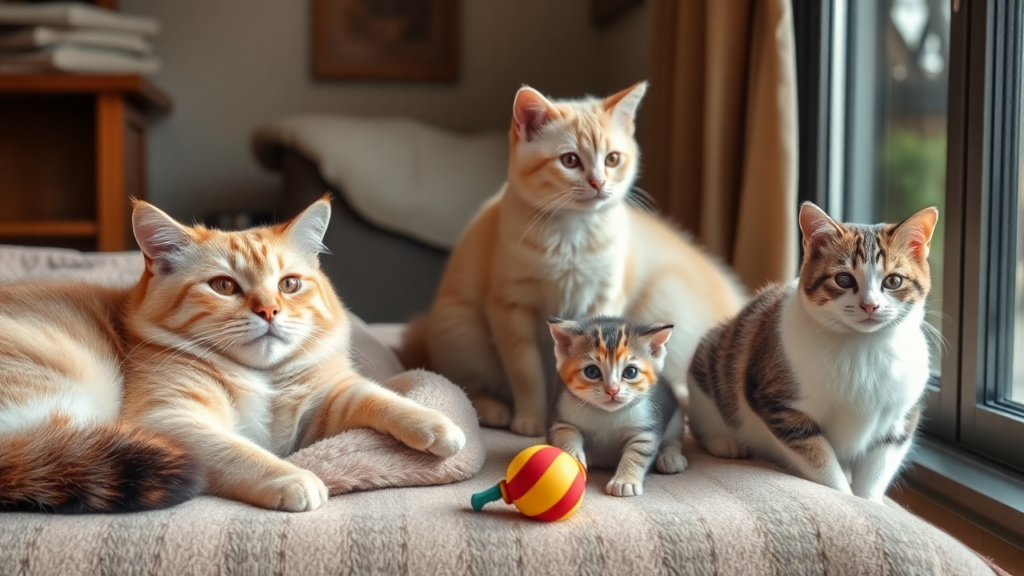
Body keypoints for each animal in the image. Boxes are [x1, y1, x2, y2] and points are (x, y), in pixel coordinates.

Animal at [0, 195, 464, 510]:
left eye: (289, 284)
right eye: (223, 286)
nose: (269, 310)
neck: (264, 379)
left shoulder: (325, 402)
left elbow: (379, 397)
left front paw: (437, 425)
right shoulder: (172, 417)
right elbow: (241, 452)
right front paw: (295, 478)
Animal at [399, 81, 745, 434]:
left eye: (612, 159)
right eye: (569, 160)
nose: (599, 182)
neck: (572, 236)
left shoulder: (603, 298)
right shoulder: (509, 307)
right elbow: (526, 374)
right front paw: (532, 417)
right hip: (459, 328)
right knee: (462, 383)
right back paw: (491, 409)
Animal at [544, 311, 688, 496]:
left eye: (630, 372)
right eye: (592, 371)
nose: (612, 390)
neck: (607, 413)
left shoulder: (646, 427)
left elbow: (638, 453)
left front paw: (625, 481)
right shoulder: (562, 416)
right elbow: (565, 435)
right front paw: (573, 456)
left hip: (675, 415)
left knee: (674, 439)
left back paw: (670, 457)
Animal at [684, 201, 937, 502]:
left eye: (894, 281)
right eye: (843, 279)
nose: (870, 305)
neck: (863, 346)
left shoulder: (899, 420)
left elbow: (877, 469)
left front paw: (869, 501)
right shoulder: (781, 408)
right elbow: (822, 462)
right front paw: (844, 494)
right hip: (709, 367)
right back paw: (723, 442)